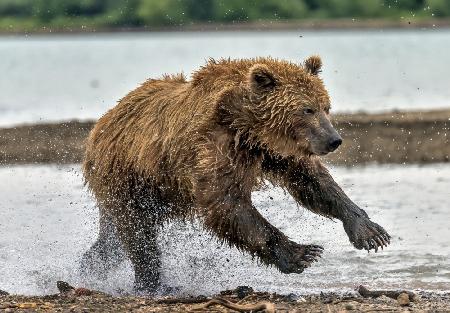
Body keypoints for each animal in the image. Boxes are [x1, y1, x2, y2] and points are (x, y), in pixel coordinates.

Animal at [81, 56, 390, 292]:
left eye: (326, 106)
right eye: (307, 109)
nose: (334, 140)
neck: (247, 127)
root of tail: (101, 123)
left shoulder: (273, 151)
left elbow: (312, 182)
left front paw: (370, 232)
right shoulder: (215, 146)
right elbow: (226, 202)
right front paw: (302, 253)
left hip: (150, 192)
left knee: (114, 238)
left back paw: (89, 265)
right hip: (126, 177)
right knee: (137, 234)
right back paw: (152, 283)